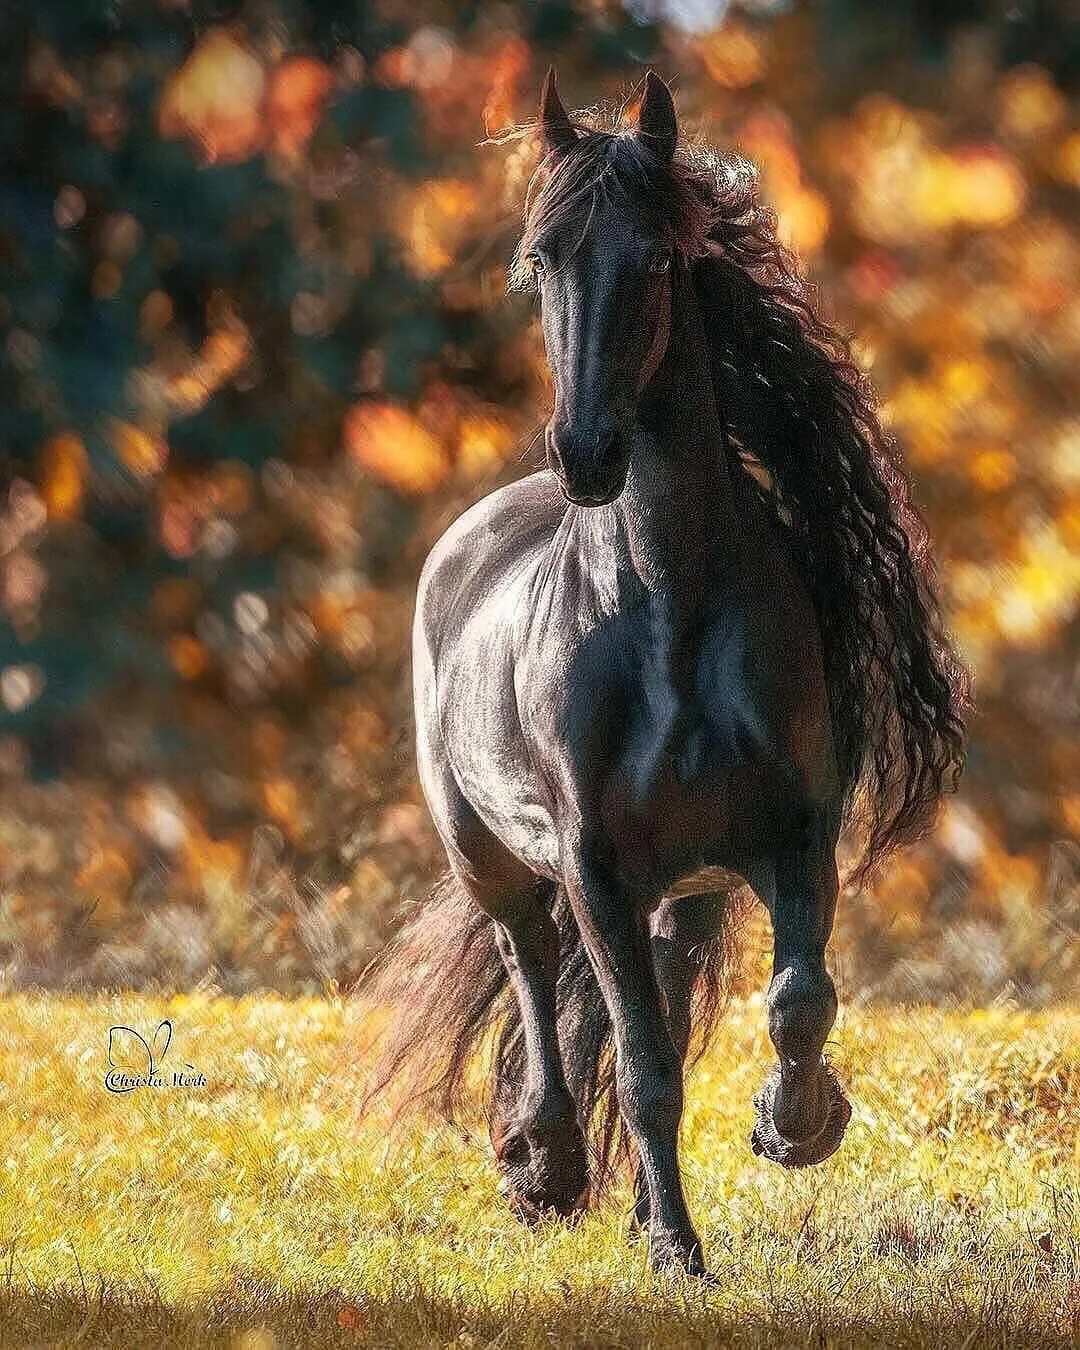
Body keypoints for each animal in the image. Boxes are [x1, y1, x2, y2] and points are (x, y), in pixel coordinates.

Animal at [356, 71, 972, 1274]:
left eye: (654, 260)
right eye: (540, 259)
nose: (586, 455)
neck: (670, 617)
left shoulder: (789, 838)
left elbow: (796, 1002)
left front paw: (797, 1125)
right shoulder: (595, 865)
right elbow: (640, 1068)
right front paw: (677, 1253)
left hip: (679, 896)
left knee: (658, 1005)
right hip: (496, 860)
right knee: (531, 967)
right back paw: (546, 1162)